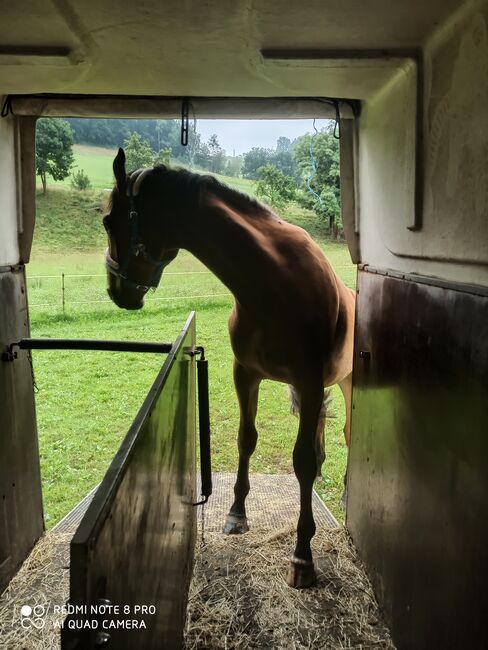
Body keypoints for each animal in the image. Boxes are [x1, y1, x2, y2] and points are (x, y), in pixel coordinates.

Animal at [104, 149, 354, 584]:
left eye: (107, 221)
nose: (116, 292)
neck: (274, 282)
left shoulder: (307, 381)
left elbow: (301, 461)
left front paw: (302, 556)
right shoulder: (247, 374)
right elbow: (245, 440)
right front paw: (237, 514)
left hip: (351, 384)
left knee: (348, 433)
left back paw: (343, 494)